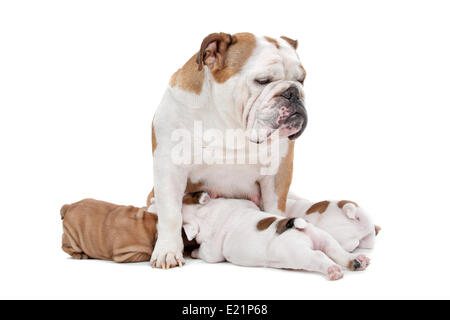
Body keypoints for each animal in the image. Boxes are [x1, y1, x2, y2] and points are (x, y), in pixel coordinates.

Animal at [178, 192, 370, 280]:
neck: (204, 212)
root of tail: (300, 227)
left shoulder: (212, 251)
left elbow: (205, 253)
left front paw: (194, 252)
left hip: (299, 253)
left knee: (318, 256)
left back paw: (333, 270)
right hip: (323, 236)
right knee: (336, 250)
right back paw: (357, 261)